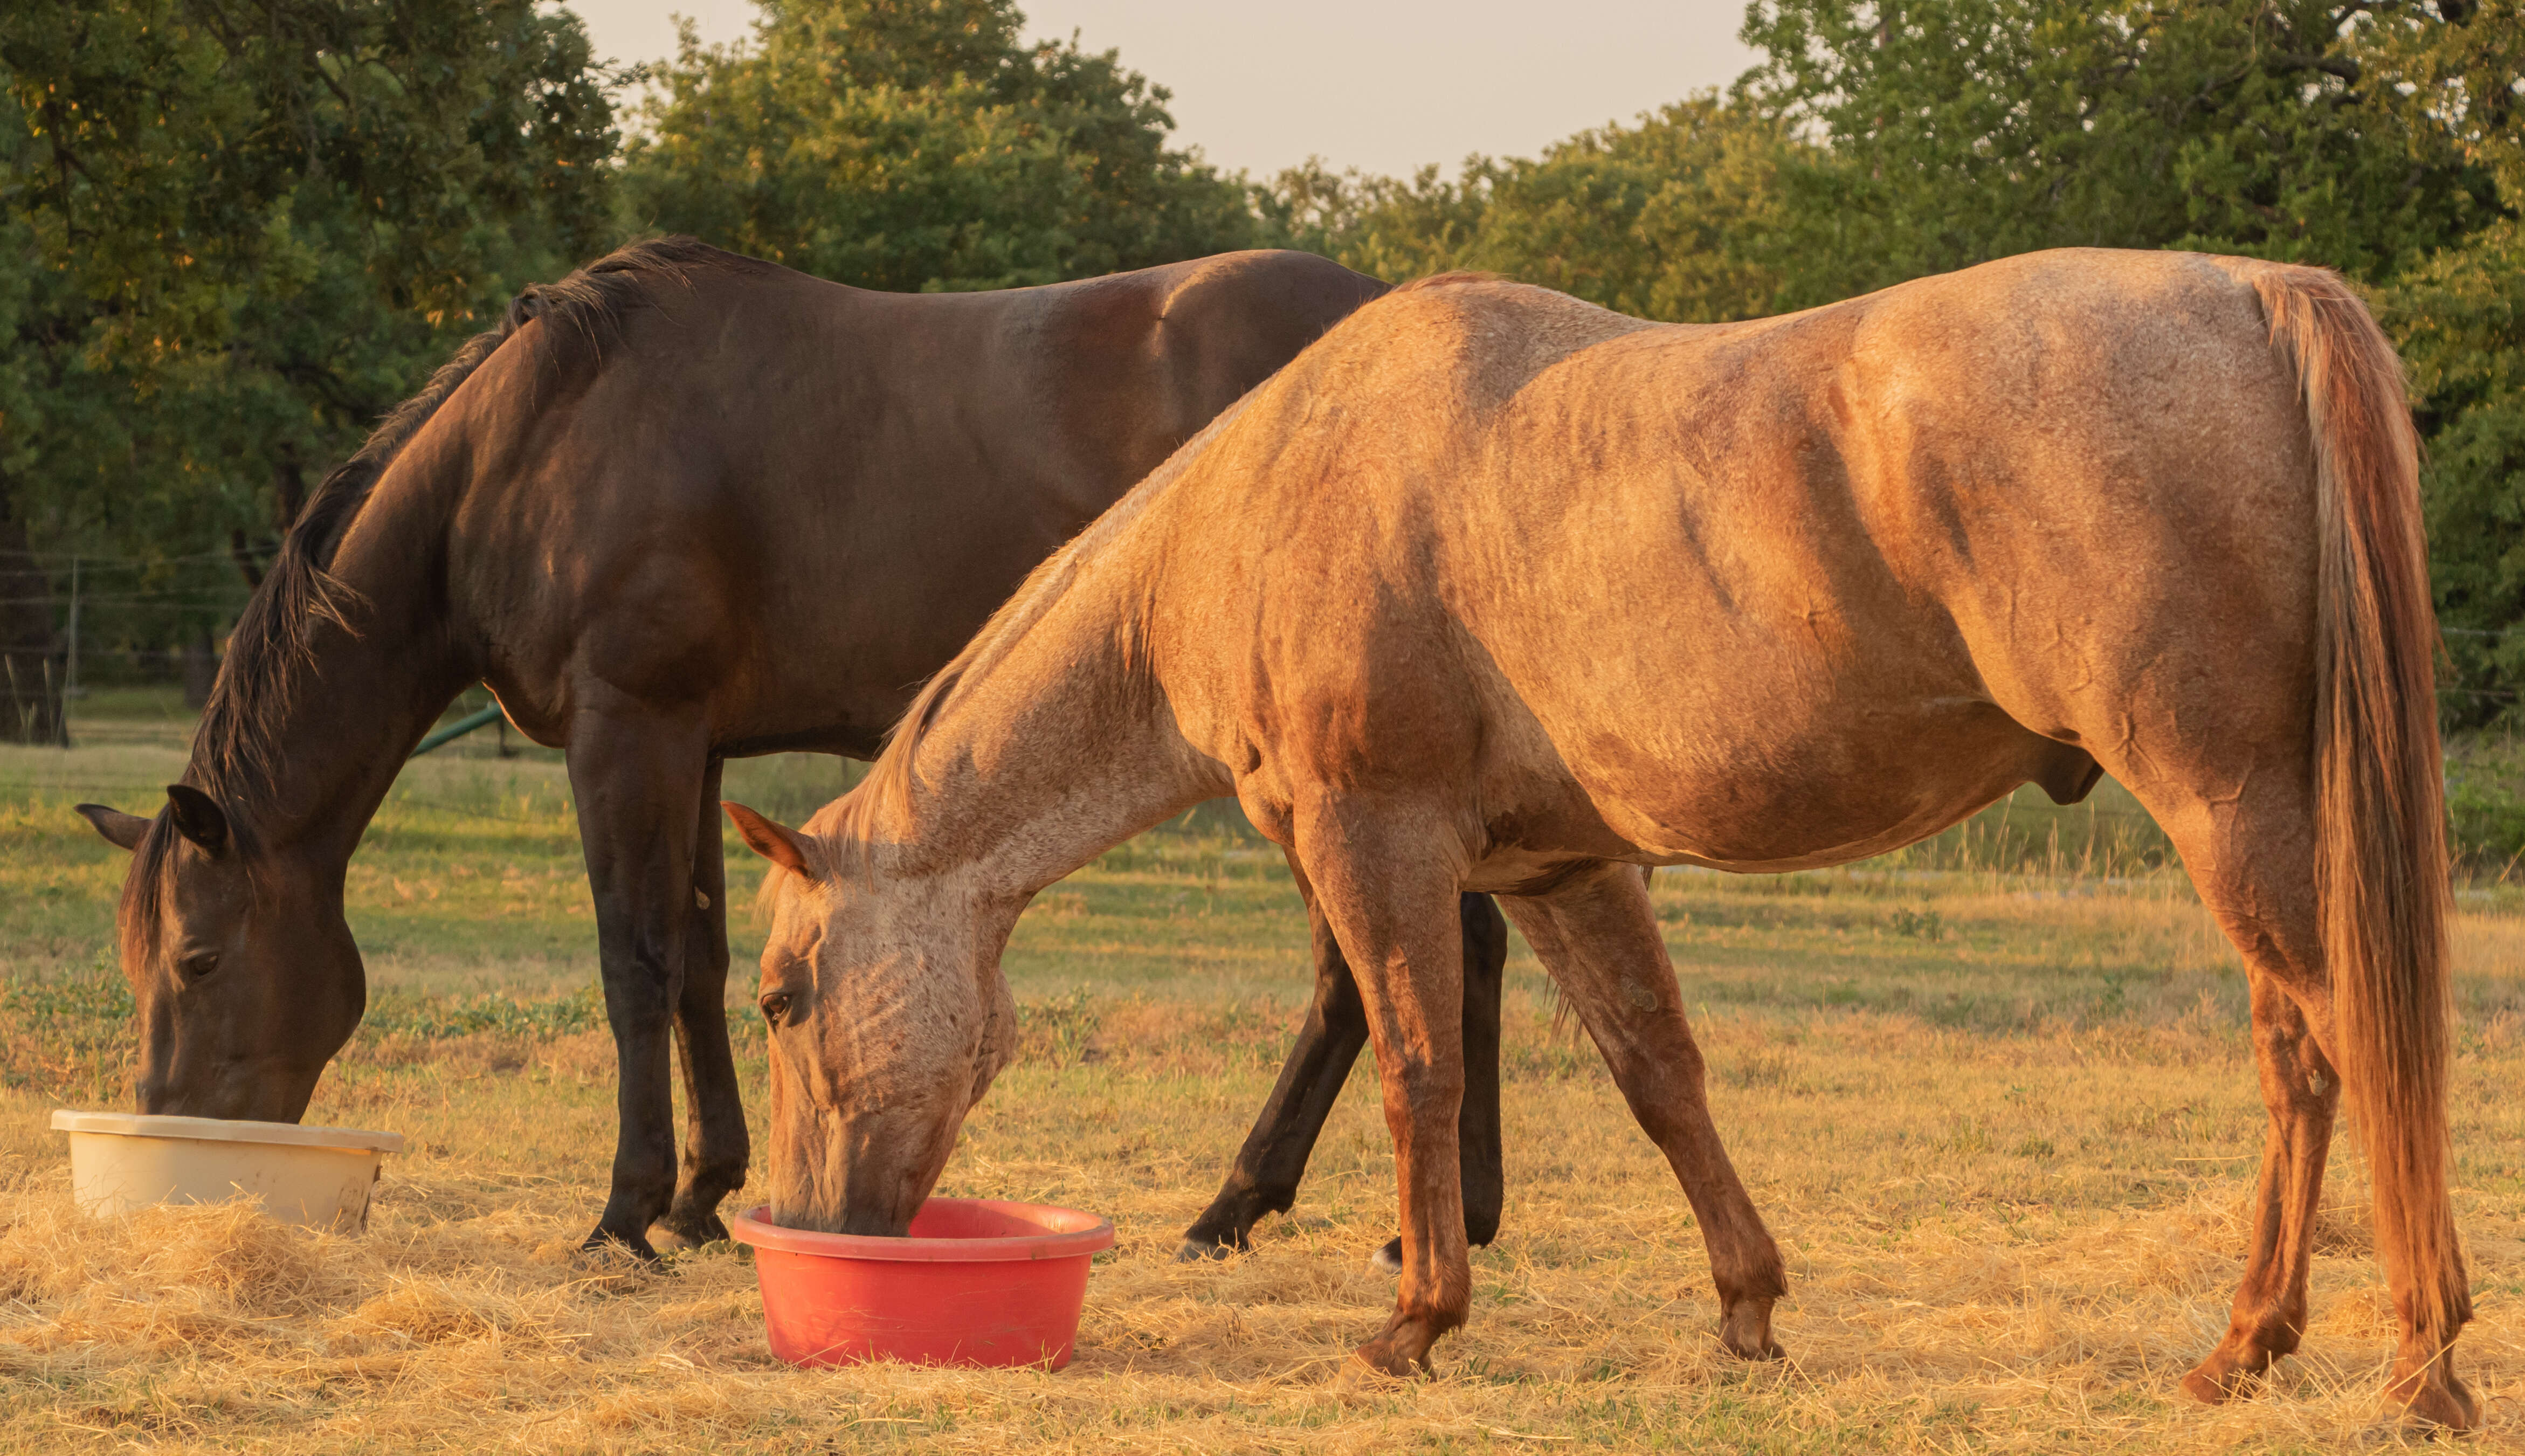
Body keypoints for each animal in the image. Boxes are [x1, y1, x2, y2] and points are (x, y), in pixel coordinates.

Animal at [70, 237, 1519, 1264]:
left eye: (198, 960)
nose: (174, 1130)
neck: (532, 453)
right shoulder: (697, 742)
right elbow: (701, 955)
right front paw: (705, 1195)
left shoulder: (625, 727)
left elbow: (633, 959)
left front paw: (624, 1211)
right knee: (1459, 951)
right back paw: (1438, 1217)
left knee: (1374, 970)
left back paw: (1253, 1206)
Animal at [722, 249, 2473, 1425]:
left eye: (780, 999)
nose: (811, 1231)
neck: (1265, 505)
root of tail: (2249, 293)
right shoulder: (1562, 867)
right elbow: (1657, 1075)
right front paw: (1747, 1305)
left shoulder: (1375, 839)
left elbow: (1418, 1063)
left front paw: (1418, 1316)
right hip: (2255, 818)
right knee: (2304, 1054)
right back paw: (2253, 1345)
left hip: (2224, 806)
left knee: (2350, 1039)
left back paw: (2412, 1357)